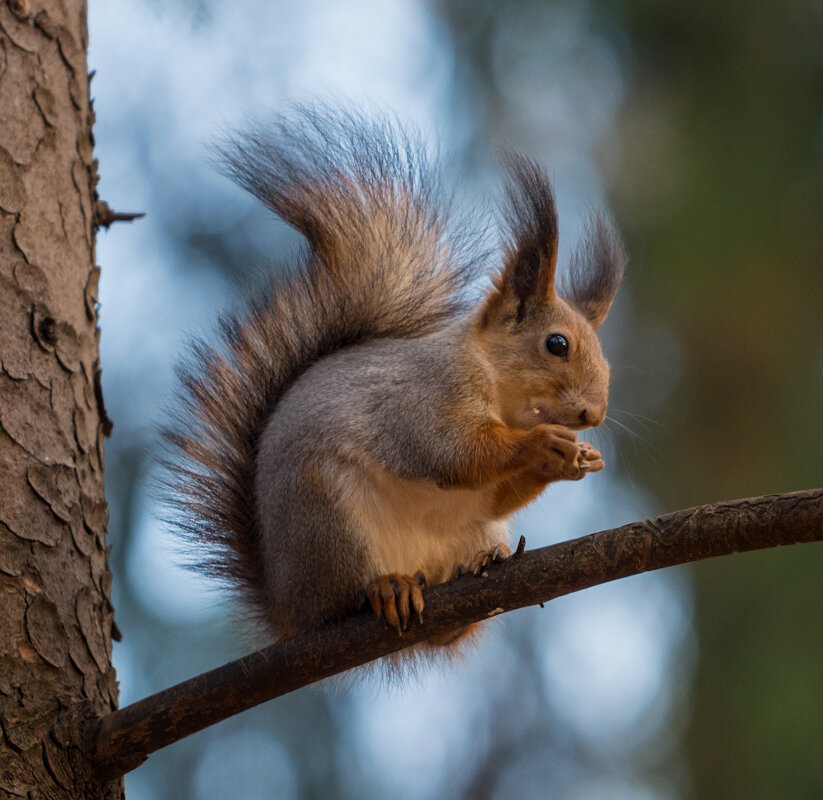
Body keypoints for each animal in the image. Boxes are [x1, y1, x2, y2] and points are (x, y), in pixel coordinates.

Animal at [166, 108, 624, 656]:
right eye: (557, 344)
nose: (594, 414)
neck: (497, 389)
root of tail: (287, 607)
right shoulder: (426, 396)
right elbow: (449, 453)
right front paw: (543, 444)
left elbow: (492, 491)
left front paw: (578, 458)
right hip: (329, 518)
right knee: (347, 596)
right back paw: (387, 587)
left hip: (466, 530)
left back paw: (479, 566)